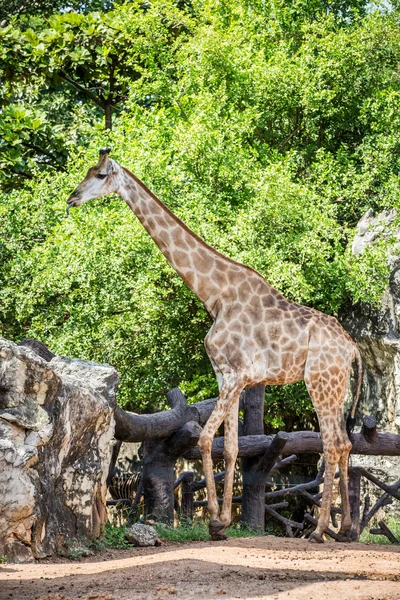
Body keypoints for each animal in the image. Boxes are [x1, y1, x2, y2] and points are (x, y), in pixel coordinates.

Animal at [66, 150, 362, 544]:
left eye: (100, 175)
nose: (71, 198)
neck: (215, 296)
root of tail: (352, 348)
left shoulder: (234, 376)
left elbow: (206, 440)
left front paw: (214, 523)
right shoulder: (231, 378)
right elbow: (233, 446)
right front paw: (222, 520)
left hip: (320, 381)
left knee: (331, 442)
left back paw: (319, 531)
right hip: (337, 386)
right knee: (344, 442)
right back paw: (346, 529)